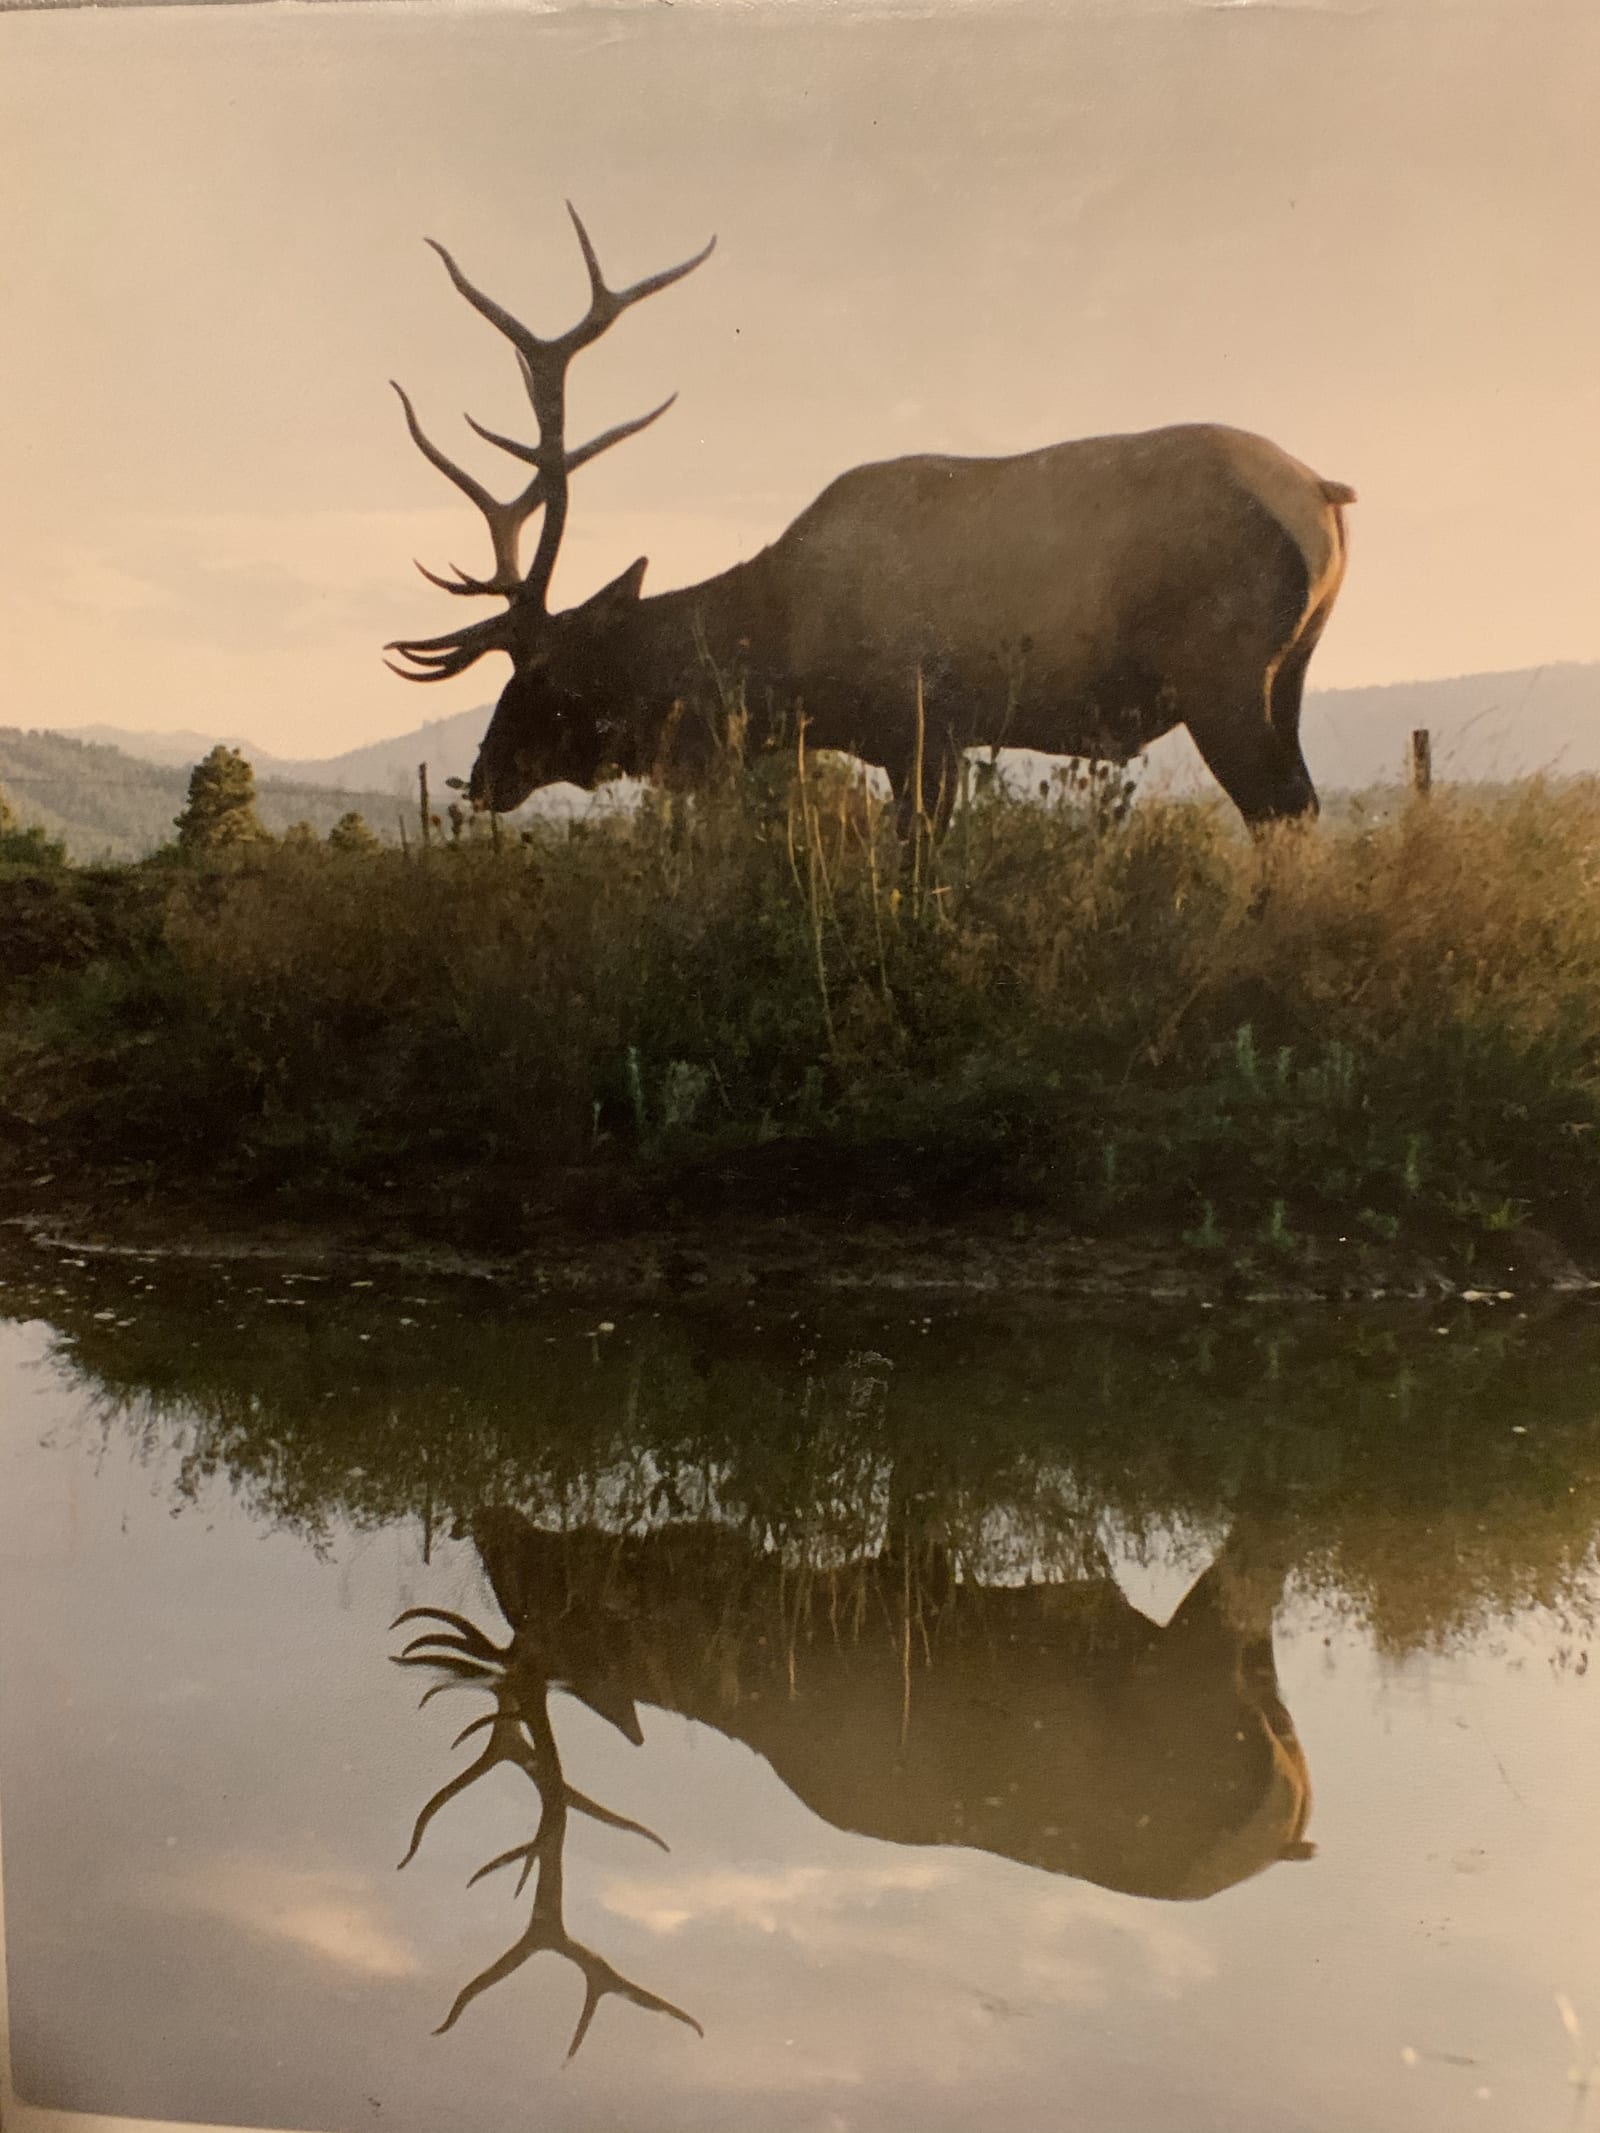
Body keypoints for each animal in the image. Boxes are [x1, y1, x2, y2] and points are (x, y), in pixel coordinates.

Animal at [386, 206, 1355, 831]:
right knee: (1303, 805)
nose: (481, 775)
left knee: (1280, 809)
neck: (783, 659)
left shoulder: (920, 725)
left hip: (1222, 670)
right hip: (1292, 669)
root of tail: (1324, 496)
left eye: (547, 673)